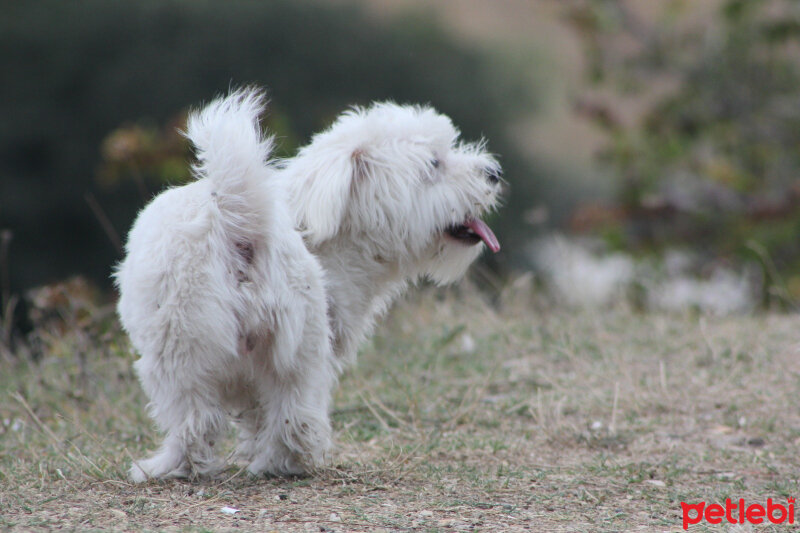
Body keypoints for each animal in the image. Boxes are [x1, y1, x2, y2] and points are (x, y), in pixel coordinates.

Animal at [114, 86, 500, 478]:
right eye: (434, 163)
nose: (493, 172)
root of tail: (238, 220)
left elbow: (255, 410)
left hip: (189, 346)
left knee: (203, 418)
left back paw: (183, 465)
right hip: (293, 342)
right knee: (287, 413)